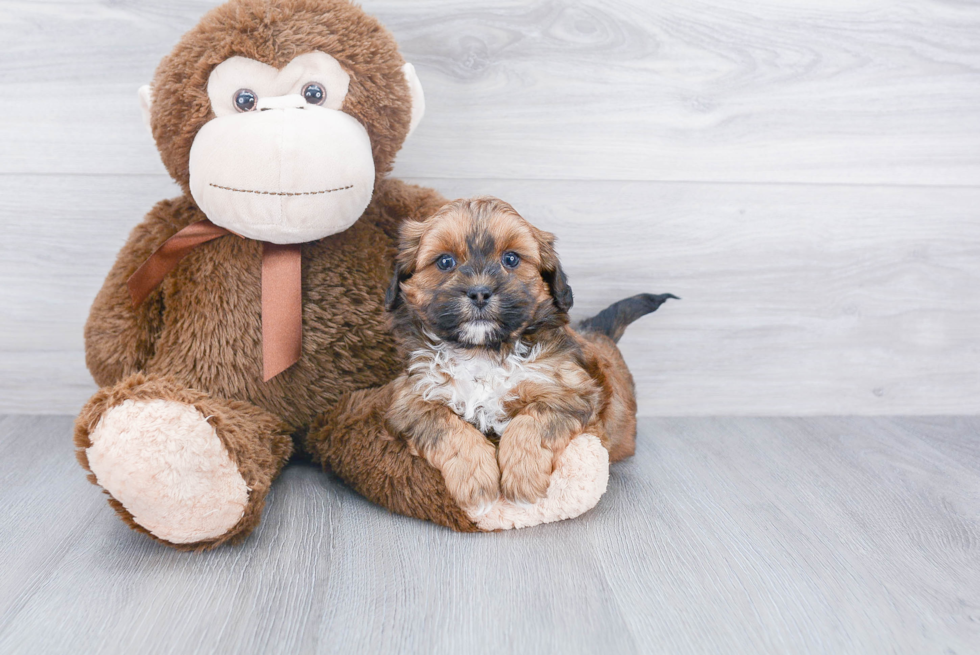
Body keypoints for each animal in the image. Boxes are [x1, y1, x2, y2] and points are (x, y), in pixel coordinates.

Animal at [382, 197, 672, 516]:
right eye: (445, 262)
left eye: (511, 259)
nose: (480, 292)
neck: (485, 351)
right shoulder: (411, 399)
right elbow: (446, 428)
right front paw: (477, 483)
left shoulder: (571, 392)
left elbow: (531, 421)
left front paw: (522, 478)